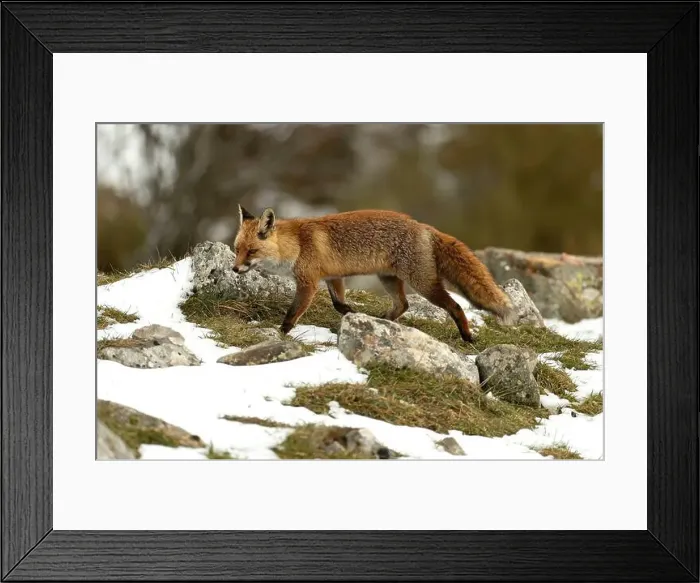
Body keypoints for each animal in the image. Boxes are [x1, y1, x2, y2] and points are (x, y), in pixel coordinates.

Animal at [231, 205, 515, 342]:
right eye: (236, 249)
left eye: (252, 251)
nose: (234, 269)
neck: (297, 245)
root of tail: (423, 226)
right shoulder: (333, 276)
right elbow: (339, 304)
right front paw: (353, 315)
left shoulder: (308, 282)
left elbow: (292, 314)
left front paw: (280, 333)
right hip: (388, 278)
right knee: (403, 305)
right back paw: (383, 322)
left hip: (423, 283)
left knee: (454, 306)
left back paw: (467, 336)